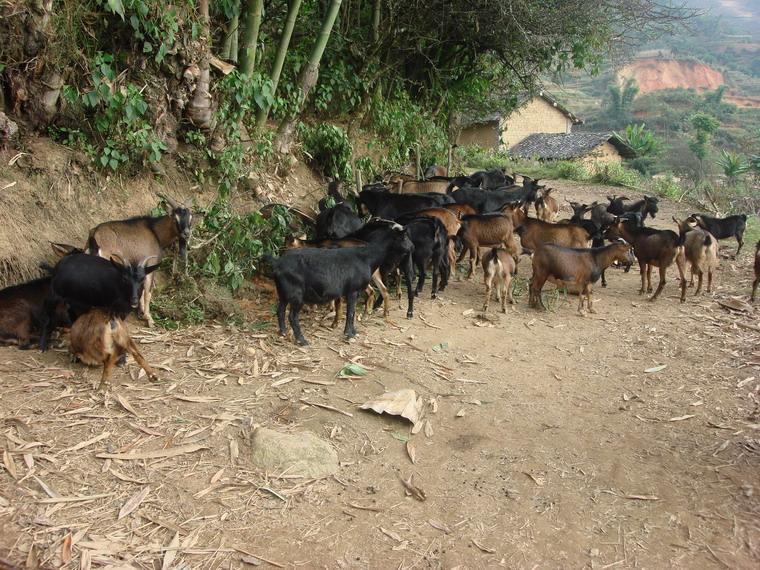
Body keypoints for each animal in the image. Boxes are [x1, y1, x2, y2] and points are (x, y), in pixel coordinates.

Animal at [87, 192, 193, 324]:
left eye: (190, 217)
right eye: (175, 218)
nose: (186, 234)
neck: (154, 232)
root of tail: (94, 236)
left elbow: (141, 291)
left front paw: (141, 312)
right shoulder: (150, 265)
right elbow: (148, 293)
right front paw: (149, 318)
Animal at [274, 221, 412, 346]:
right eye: (404, 237)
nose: (412, 247)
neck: (366, 256)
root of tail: (278, 266)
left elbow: (351, 311)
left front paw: (352, 331)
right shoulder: (352, 290)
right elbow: (350, 312)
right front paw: (348, 334)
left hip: (284, 292)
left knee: (280, 310)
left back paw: (283, 332)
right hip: (295, 294)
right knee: (292, 316)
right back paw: (302, 340)